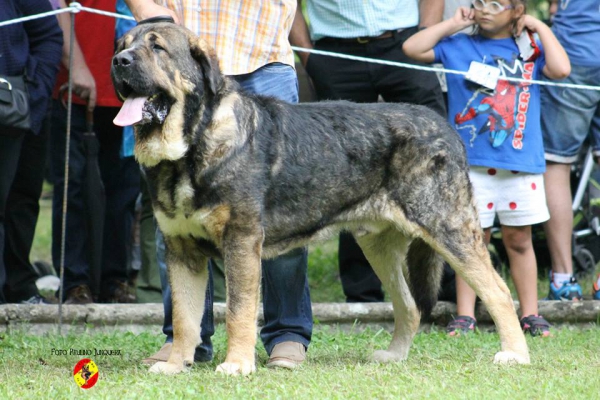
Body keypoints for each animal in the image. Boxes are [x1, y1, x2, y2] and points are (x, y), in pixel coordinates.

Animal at [110, 23, 528, 376]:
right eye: (123, 45)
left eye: (157, 47)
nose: (120, 61)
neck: (190, 148)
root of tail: (446, 127)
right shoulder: (182, 250)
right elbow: (184, 317)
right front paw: (174, 365)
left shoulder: (241, 242)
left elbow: (239, 310)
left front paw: (237, 365)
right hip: (378, 245)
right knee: (408, 305)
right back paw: (394, 355)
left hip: (448, 229)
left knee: (498, 291)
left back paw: (514, 354)